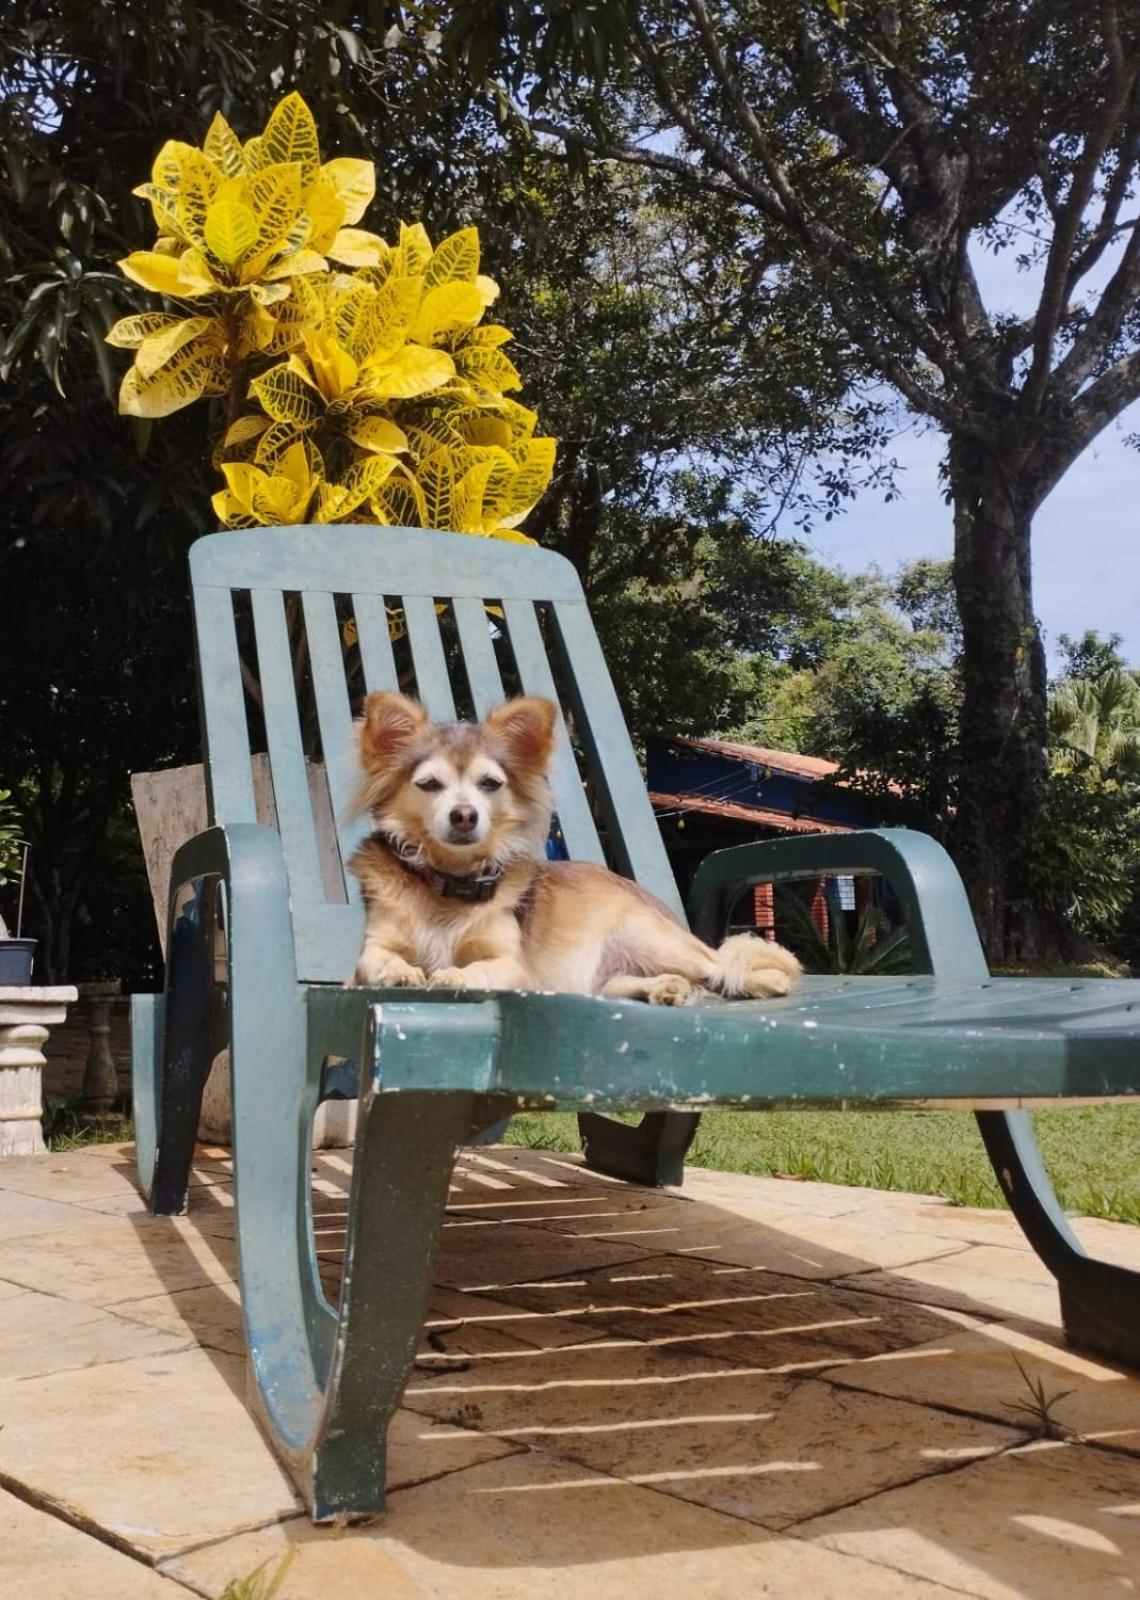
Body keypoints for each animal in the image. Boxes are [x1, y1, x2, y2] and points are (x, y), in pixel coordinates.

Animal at [347, 694, 800, 1004]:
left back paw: (763, 982)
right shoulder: (368, 953)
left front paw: (454, 975)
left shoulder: (514, 967)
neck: (450, 881)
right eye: (428, 785)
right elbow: (377, 961)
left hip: (648, 937)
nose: (464, 815)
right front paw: (401, 972)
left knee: (725, 965)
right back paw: (667, 988)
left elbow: (482, 968)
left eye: (490, 784)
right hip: (610, 977)